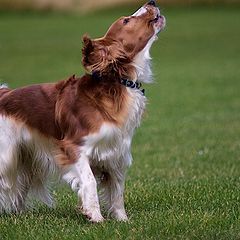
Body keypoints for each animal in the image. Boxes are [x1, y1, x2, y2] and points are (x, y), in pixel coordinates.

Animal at [0, 0, 165, 222]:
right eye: (126, 20)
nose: (152, 2)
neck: (120, 82)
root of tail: (4, 94)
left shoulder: (116, 153)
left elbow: (118, 190)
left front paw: (122, 220)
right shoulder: (74, 148)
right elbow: (90, 182)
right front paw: (95, 216)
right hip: (6, 156)